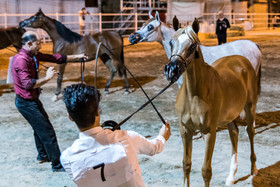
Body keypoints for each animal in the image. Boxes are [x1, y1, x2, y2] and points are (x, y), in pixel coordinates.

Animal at [164, 25, 260, 187]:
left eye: (192, 46)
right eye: (171, 42)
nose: (172, 70)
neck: (193, 95)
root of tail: (241, 60)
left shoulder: (209, 132)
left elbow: (206, 171)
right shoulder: (186, 130)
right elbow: (186, 165)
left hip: (250, 107)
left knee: (250, 132)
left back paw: (254, 170)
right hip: (229, 116)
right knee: (234, 134)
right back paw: (231, 176)